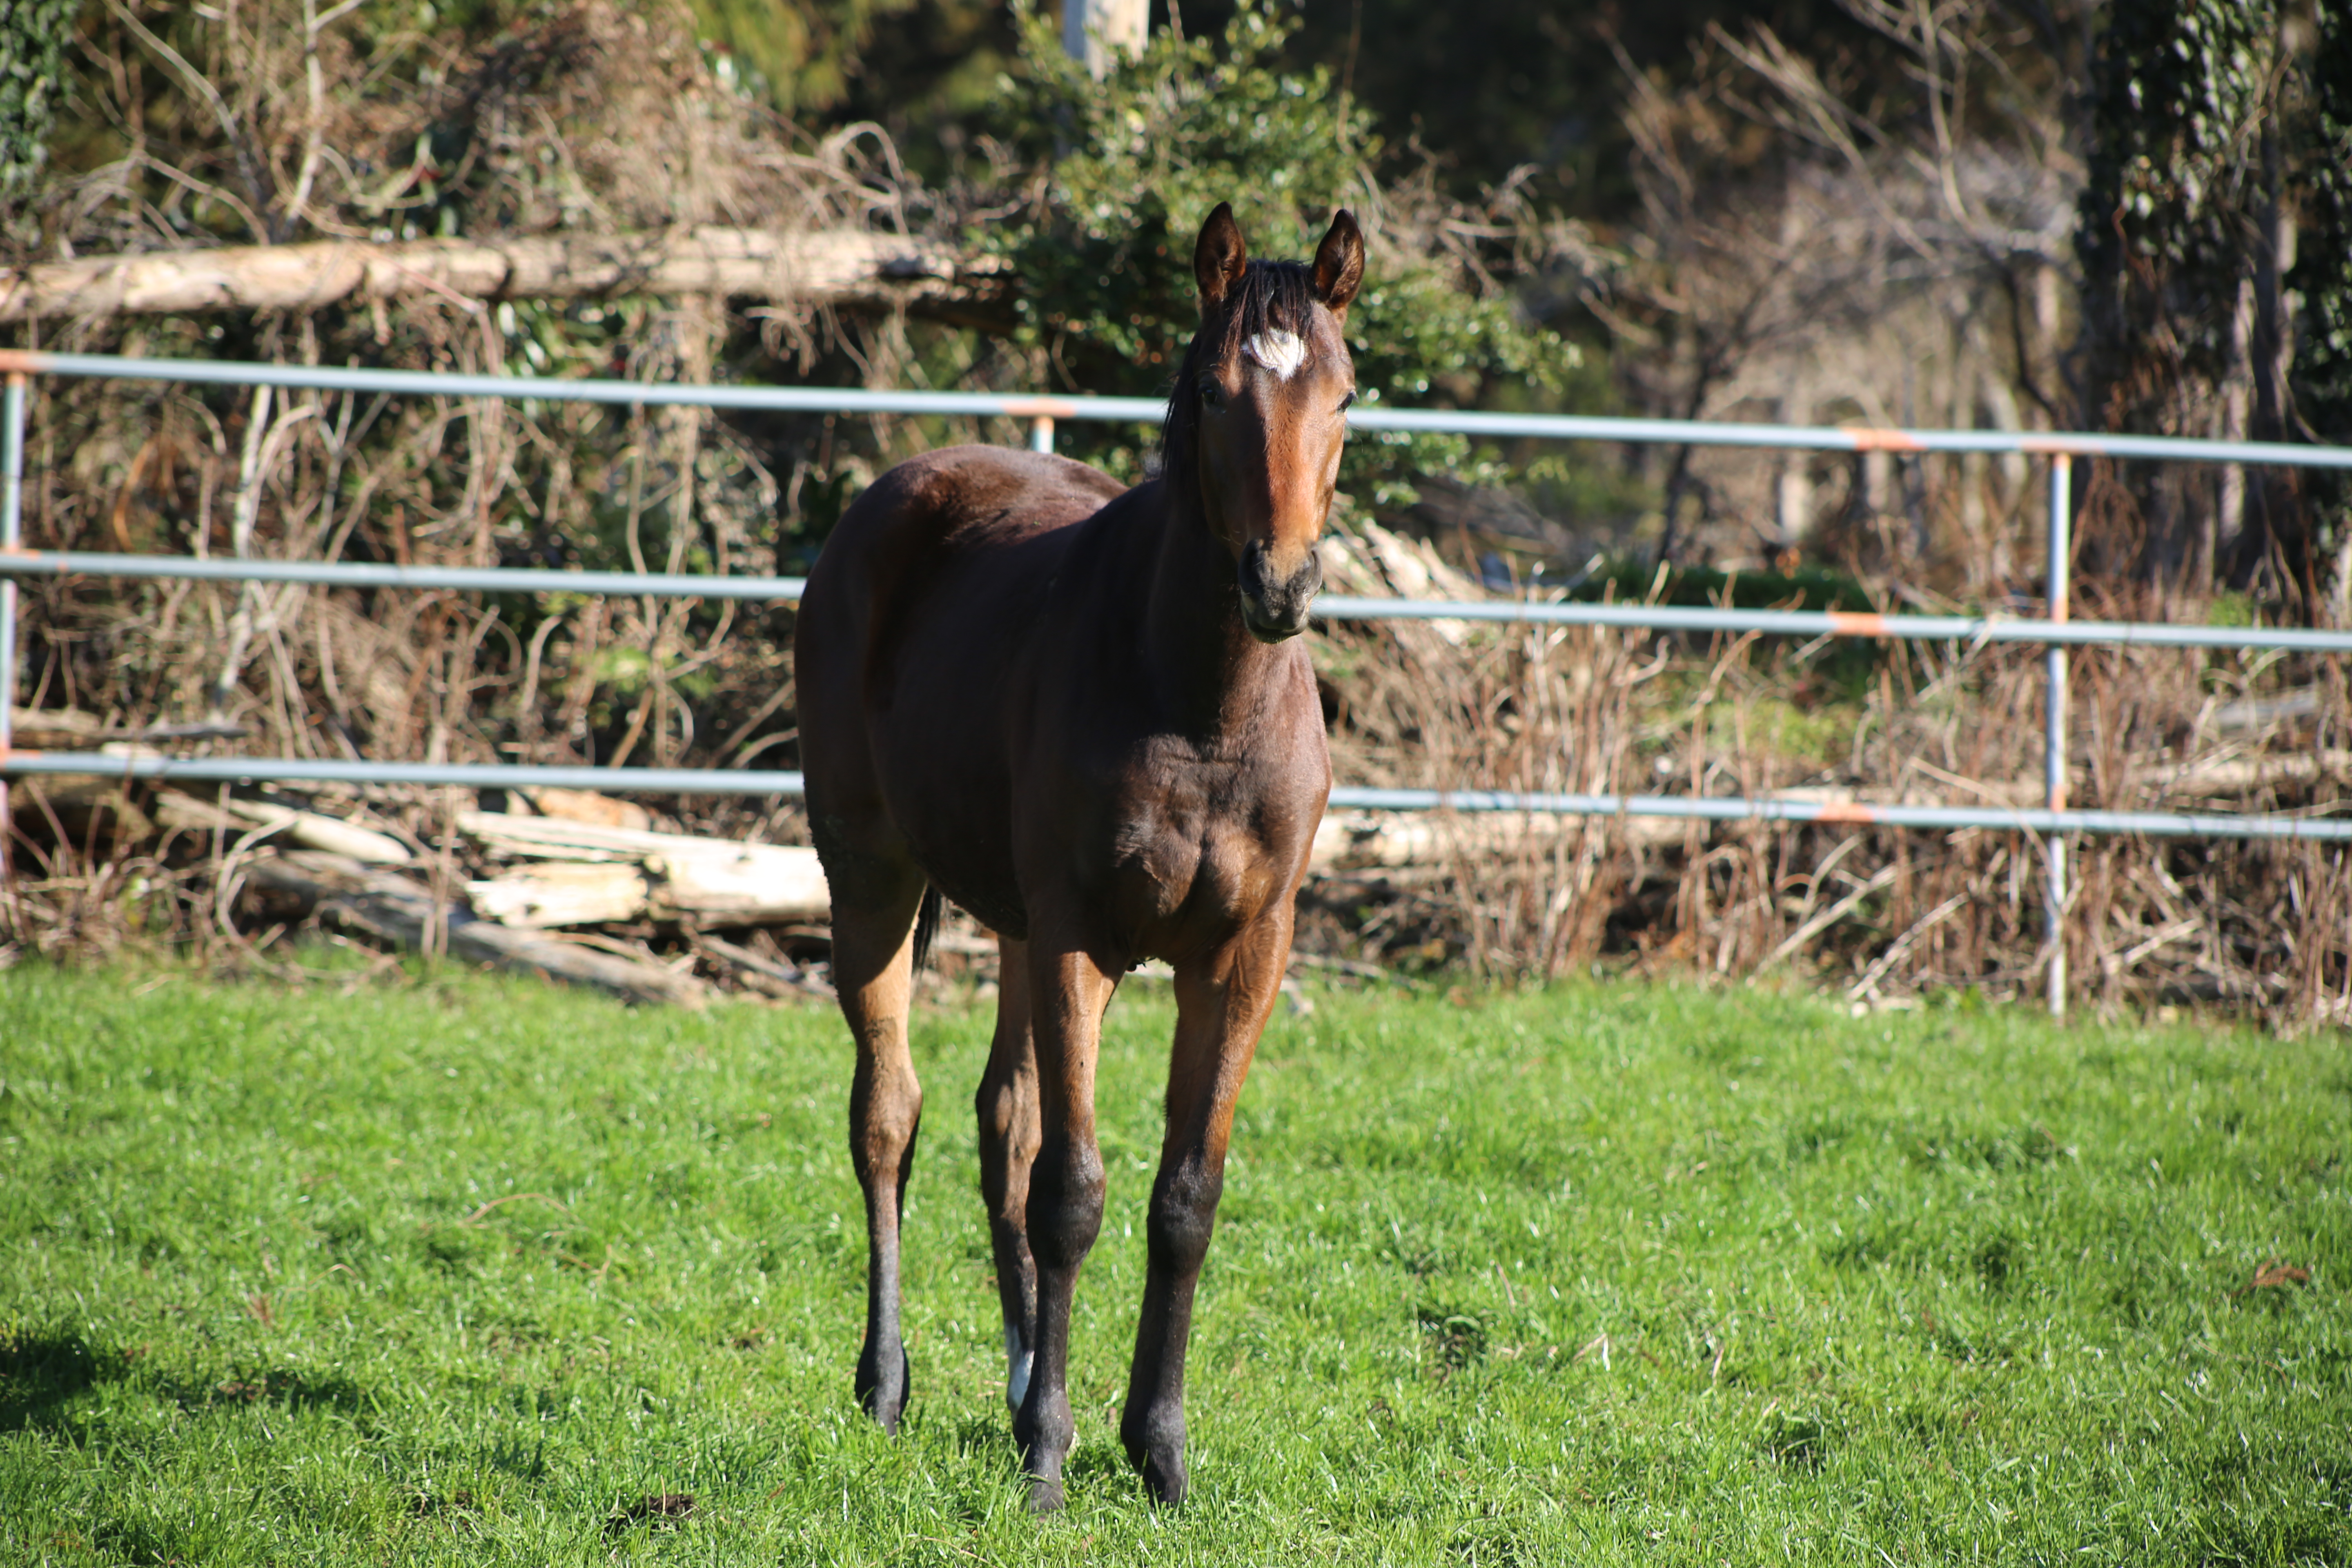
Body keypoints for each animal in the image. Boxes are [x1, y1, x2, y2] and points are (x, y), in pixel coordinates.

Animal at [795, 202, 1364, 1514]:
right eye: (1212, 390)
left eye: (1346, 395)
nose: (1278, 584)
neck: (1200, 706)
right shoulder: (1077, 942)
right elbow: (1073, 1192)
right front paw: (1053, 1459)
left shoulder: (1244, 956)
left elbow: (1182, 1198)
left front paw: (1158, 1453)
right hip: (875, 878)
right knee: (888, 1118)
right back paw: (887, 1387)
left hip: (1004, 919)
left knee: (998, 1124)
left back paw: (1009, 1387)